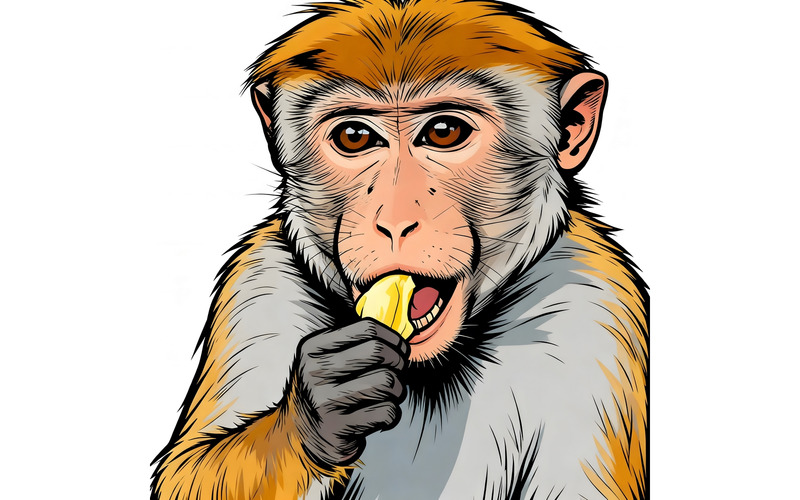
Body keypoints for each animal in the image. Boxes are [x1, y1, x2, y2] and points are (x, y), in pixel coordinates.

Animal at [151, 1, 648, 499]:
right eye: (354, 137)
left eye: (445, 132)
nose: (392, 221)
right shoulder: (260, 281)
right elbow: (189, 471)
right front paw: (320, 410)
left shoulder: (593, 302)